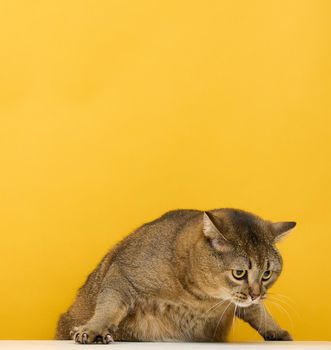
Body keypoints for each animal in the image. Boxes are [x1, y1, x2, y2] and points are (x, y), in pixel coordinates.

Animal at [55, 209, 296, 344]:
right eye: (239, 273)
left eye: (267, 274)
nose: (256, 293)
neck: (201, 298)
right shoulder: (122, 273)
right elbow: (109, 306)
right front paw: (94, 329)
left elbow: (257, 311)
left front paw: (275, 330)